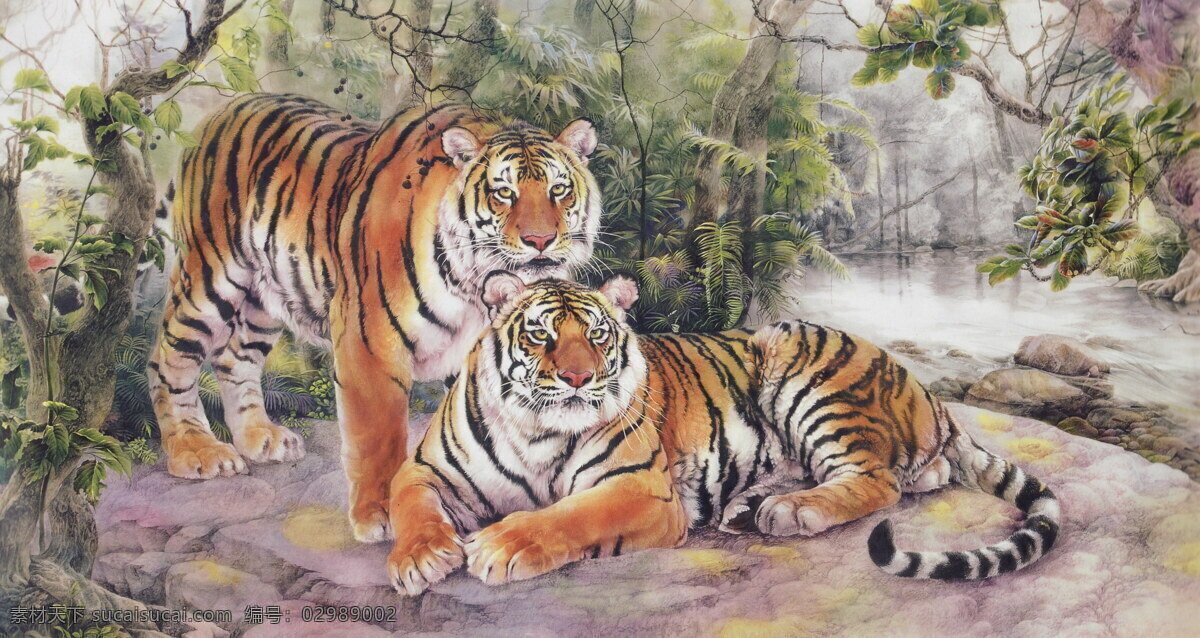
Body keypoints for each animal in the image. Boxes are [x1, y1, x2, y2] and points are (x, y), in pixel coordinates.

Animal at [147, 94, 601, 542]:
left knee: (233, 358)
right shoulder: (369, 339)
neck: (476, 285)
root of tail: (218, 114)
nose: (540, 240)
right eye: (503, 192)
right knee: (168, 359)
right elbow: (379, 435)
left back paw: (261, 438)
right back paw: (197, 452)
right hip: (208, 278)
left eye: (559, 189)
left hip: (264, 299)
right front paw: (385, 513)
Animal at [383, 274, 1061, 594]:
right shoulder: (428, 467)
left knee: (879, 481)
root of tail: (926, 390)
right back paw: (748, 505)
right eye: (541, 335)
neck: (537, 431)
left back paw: (790, 511)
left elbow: (569, 516)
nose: (579, 377)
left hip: (802, 365)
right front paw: (419, 558)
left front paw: (502, 546)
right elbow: (404, 495)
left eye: (598, 335)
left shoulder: (640, 489)